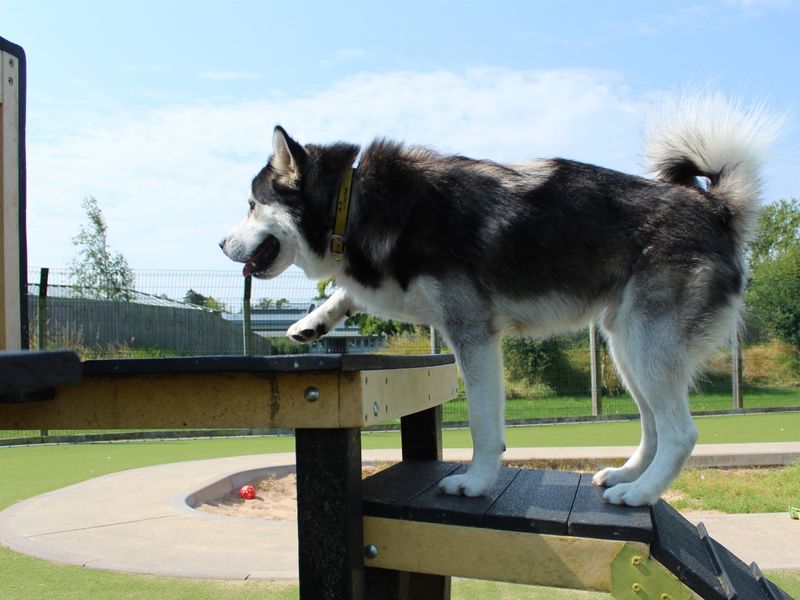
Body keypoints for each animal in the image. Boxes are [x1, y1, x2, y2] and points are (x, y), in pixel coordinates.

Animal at [222, 97, 780, 506]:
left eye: (250, 205)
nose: (222, 244)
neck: (351, 201)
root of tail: (716, 207)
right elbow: (347, 292)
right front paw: (313, 321)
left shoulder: (473, 334)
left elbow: (483, 424)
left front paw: (475, 483)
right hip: (628, 349)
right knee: (653, 427)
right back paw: (626, 477)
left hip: (647, 347)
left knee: (681, 432)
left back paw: (641, 495)